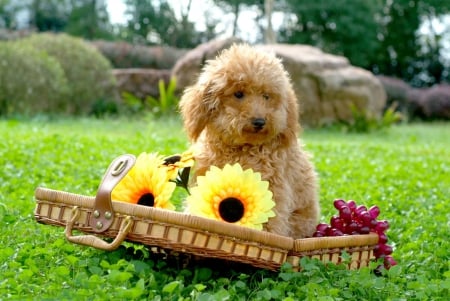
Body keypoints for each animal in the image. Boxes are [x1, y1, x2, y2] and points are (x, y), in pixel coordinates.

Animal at [179, 43, 320, 238]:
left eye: (266, 96)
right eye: (238, 94)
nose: (260, 122)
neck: (242, 148)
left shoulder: (271, 187)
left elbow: (269, 222)